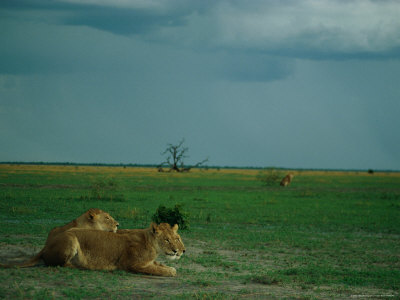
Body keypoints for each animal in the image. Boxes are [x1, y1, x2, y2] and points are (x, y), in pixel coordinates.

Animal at [41, 223, 185, 276]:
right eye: (167, 240)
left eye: (177, 238)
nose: (180, 251)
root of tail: (45, 246)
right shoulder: (131, 264)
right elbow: (160, 270)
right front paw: (170, 271)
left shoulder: (148, 262)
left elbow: (161, 265)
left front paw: (169, 267)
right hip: (71, 238)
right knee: (59, 263)